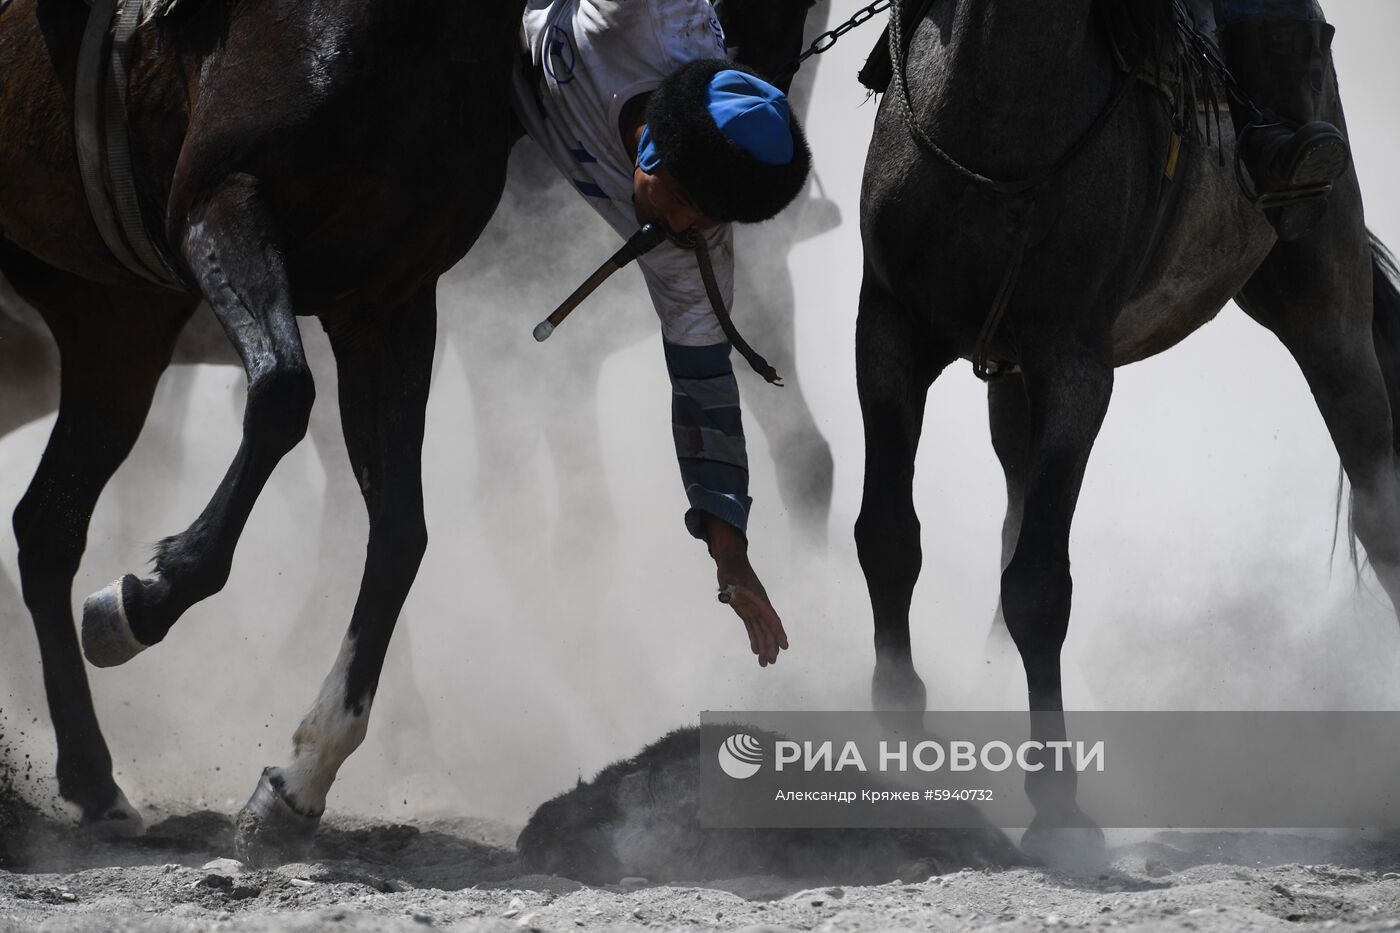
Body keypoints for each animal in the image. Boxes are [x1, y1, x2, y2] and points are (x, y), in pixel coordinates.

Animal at [851, 0, 1400, 857]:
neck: (996, 107)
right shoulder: (888, 334)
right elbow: (887, 537)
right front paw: (902, 742)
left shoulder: (1076, 364)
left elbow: (1040, 584)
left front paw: (1056, 802)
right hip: (1010, 381)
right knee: (1009, 506)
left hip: (1325, 303)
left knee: (1380, 506)